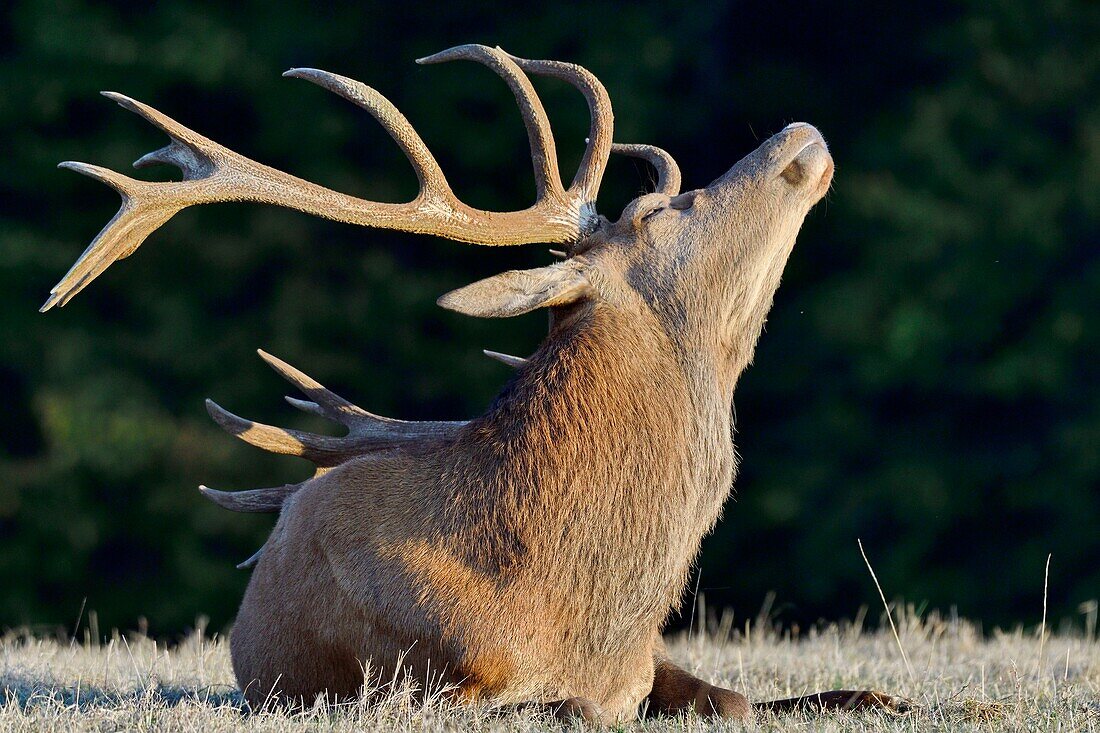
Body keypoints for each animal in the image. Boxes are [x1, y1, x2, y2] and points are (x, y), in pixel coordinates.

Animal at [42, 44, 906, 717]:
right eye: (660, 213)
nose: (798, 132)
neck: (573, 609)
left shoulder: (644, 658)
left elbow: (730, 697)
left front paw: (875, 695)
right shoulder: (414, 681)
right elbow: (570, 706)